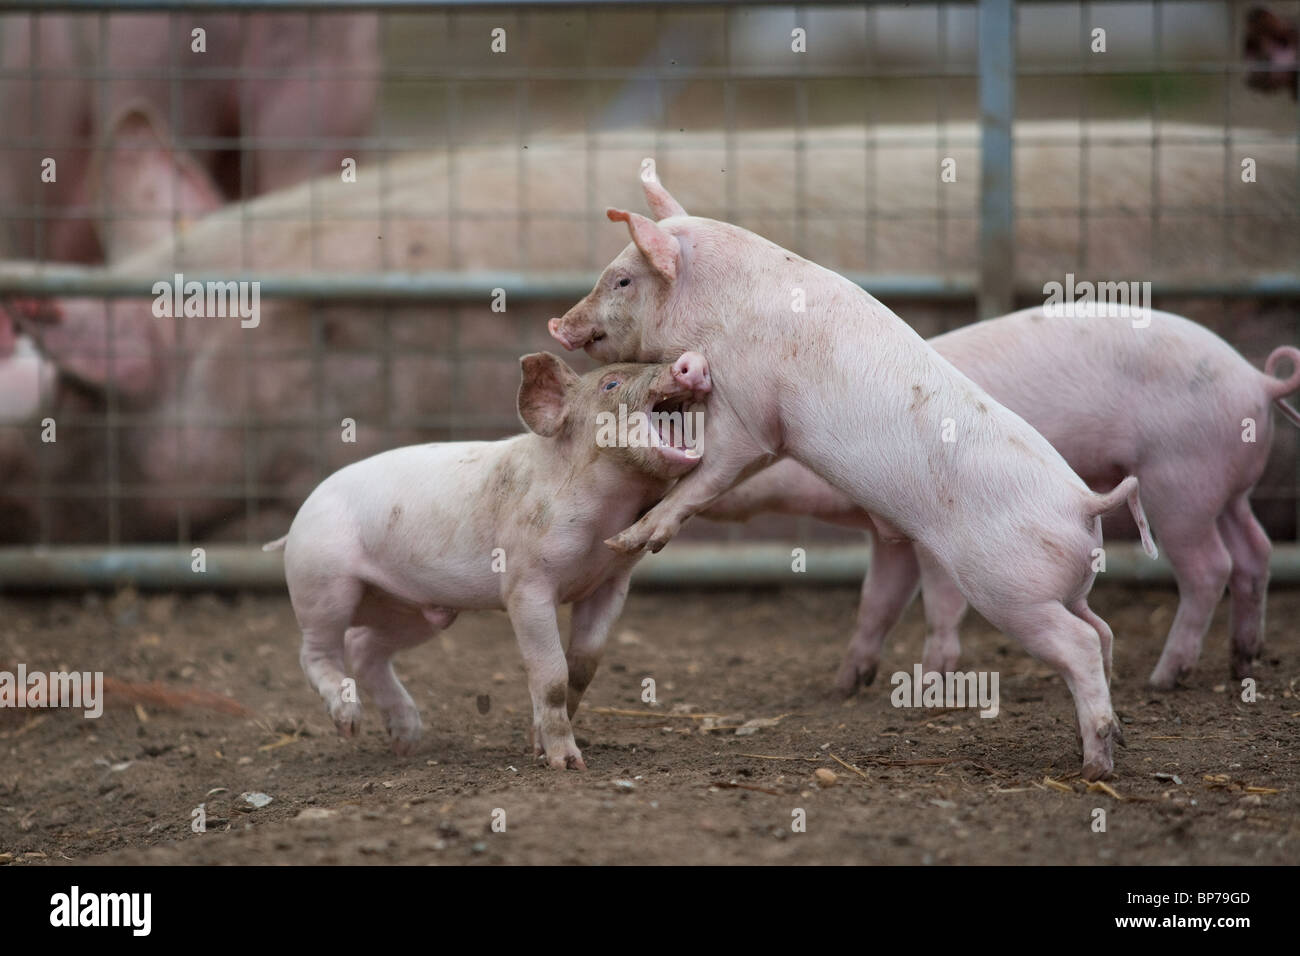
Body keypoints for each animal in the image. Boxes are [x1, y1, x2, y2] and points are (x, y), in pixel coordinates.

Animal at [265, 350, 711, 768]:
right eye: (611, 383)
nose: (690, 362)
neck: (605, 518)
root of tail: (298, 519)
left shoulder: (610, 583)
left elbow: (582, 669)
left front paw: (537, 746)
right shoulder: (525, 584)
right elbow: (552, 674)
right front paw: (567, 764)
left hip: (408, 608)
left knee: (363, 647)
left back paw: (407, 741)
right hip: (322, 577)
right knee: (317, 650)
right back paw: (349, 724)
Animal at [548, 159, 1158, 780]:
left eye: (623, 280)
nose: (557, 324)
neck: (719, 308)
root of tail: (1087, 503)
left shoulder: (752, 413)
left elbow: (708, 474)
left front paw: (627, 540)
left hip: (1013, 590)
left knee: (1080, 643)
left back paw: (1095, 767)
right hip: (1069, 586)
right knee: (1103, 631)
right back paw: (1111, 739)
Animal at [705, 308, 1300, 691]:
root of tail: (1257, 381)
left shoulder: (934, 529)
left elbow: (940, 601)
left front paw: (932, 678)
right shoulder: (888, 533)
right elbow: (877, 601)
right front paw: (845, 684)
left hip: (1180, 482)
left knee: (1210, 567)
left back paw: (1162, 680)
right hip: (1229, 488)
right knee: (1255, 551)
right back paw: (1243, 662)